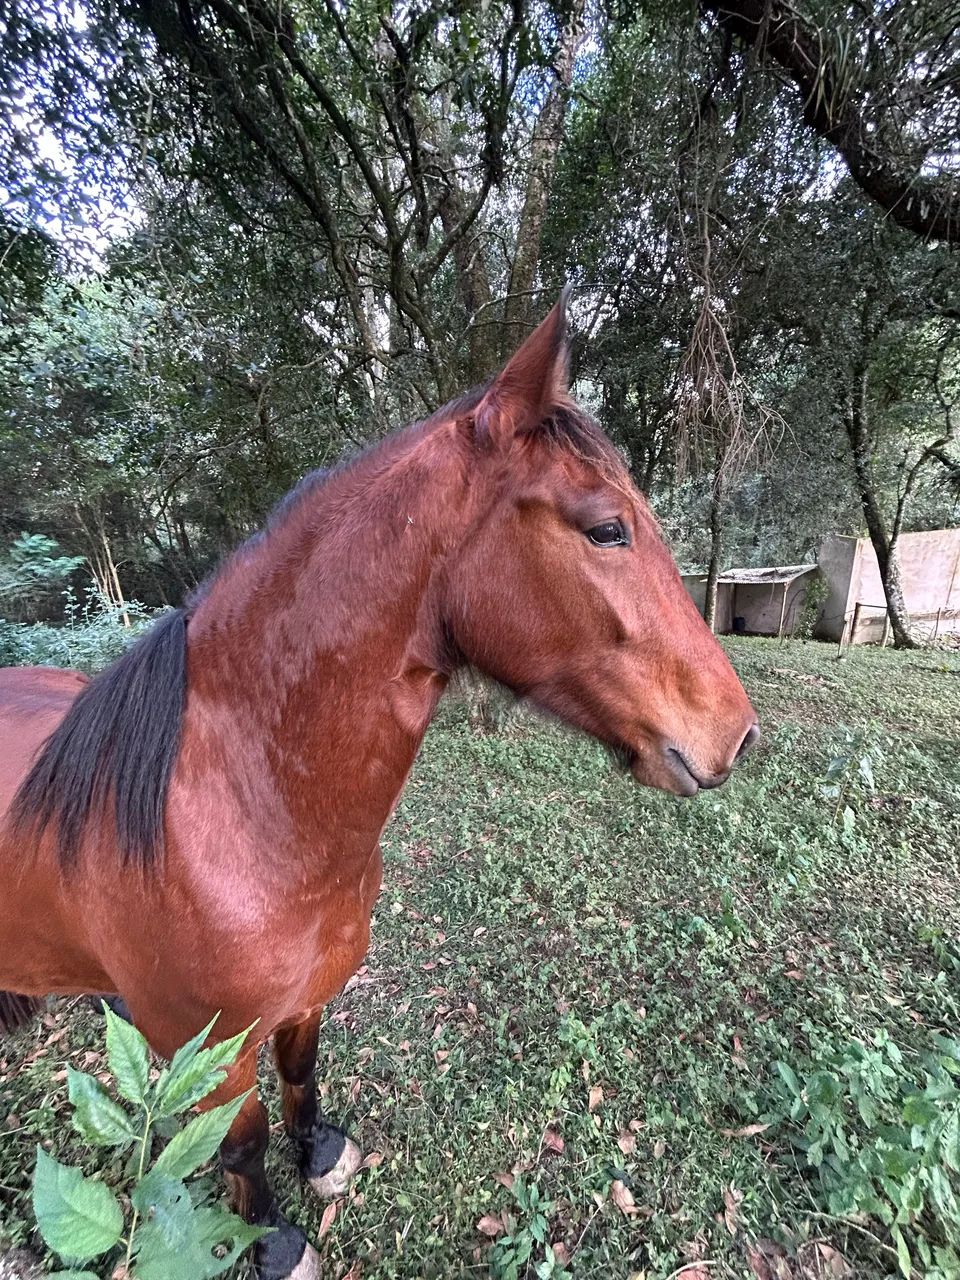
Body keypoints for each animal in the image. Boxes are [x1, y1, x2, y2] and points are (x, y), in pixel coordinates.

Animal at [0, 294, 759, 1279]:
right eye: (605, 528)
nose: (736, 732)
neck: (239, 813)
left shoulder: (308, 998)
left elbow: (303, 1076)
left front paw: (320, 1154)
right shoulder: (215, 1058)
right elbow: (241, 1146)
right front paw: (272, 1241)